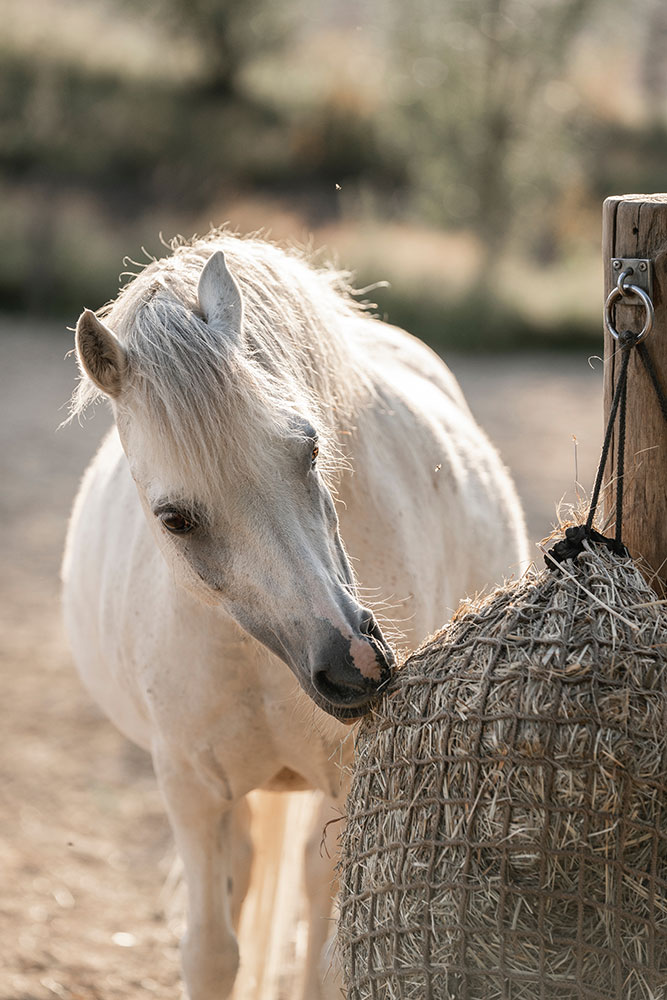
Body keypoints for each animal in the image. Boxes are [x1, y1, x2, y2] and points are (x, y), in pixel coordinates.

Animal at [60, 230, 528, 996]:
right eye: (175, 518)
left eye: (307, 448)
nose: (353, 667)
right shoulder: (190, 792)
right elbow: (210, 952)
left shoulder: (348, 780)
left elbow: (328, 951)